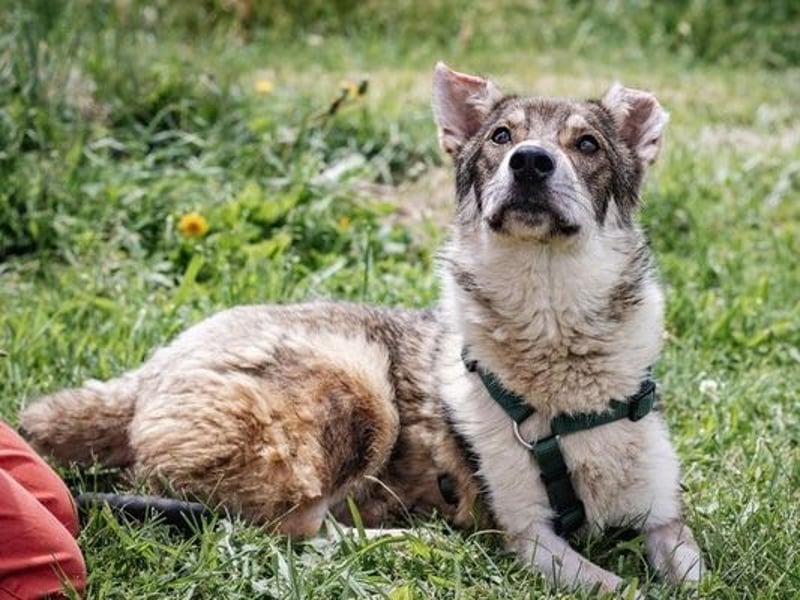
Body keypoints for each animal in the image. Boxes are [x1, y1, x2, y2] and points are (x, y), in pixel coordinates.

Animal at [21, 62, 703, 594]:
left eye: (586, 145)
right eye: (502, 136)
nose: (529, 162)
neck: (553, 326)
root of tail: (147, 372)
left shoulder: (664, 516)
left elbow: (694, 570)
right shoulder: (526, 533)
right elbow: (613, 586)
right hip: (356, 390)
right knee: (288, 528)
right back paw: (407, 540)